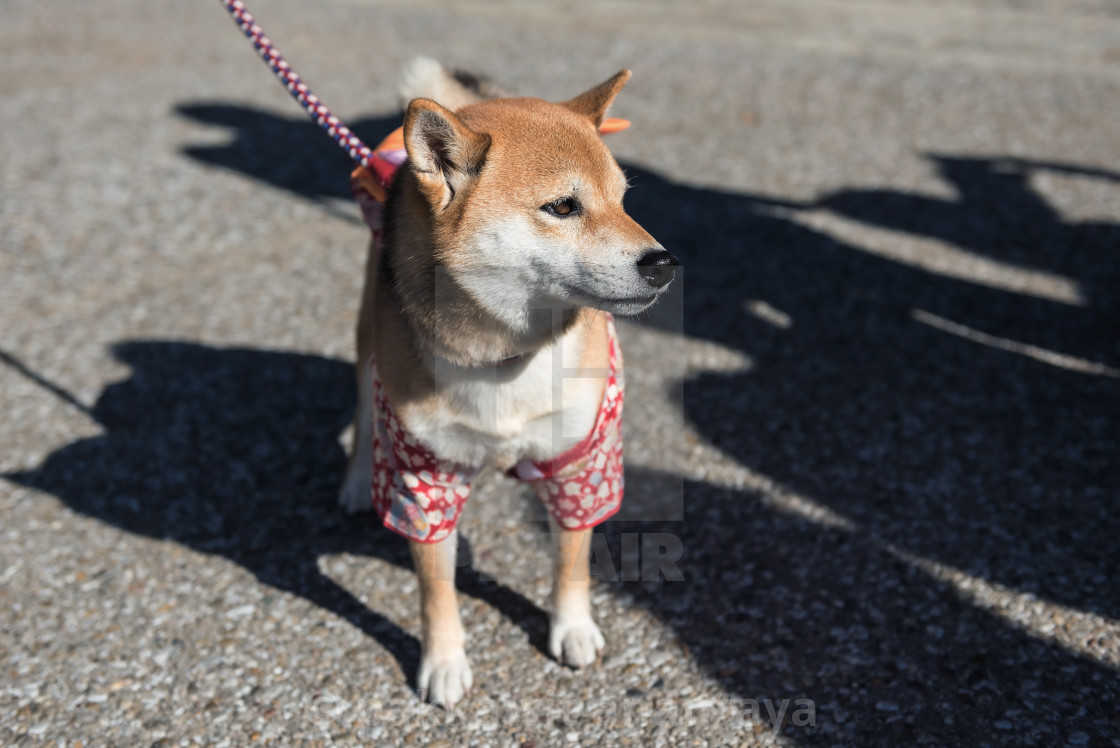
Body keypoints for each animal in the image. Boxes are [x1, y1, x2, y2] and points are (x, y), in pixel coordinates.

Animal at [338, 59, 672, 707]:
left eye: (623, 201)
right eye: (563, 207)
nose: (664, 264)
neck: (506, 357)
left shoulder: (579, 461)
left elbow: (572, 559)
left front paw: (573, 628)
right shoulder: (426, 479)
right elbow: (435, 587)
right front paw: (443, 662)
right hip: (368, 339)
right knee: (365, 409)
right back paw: (357, 481)